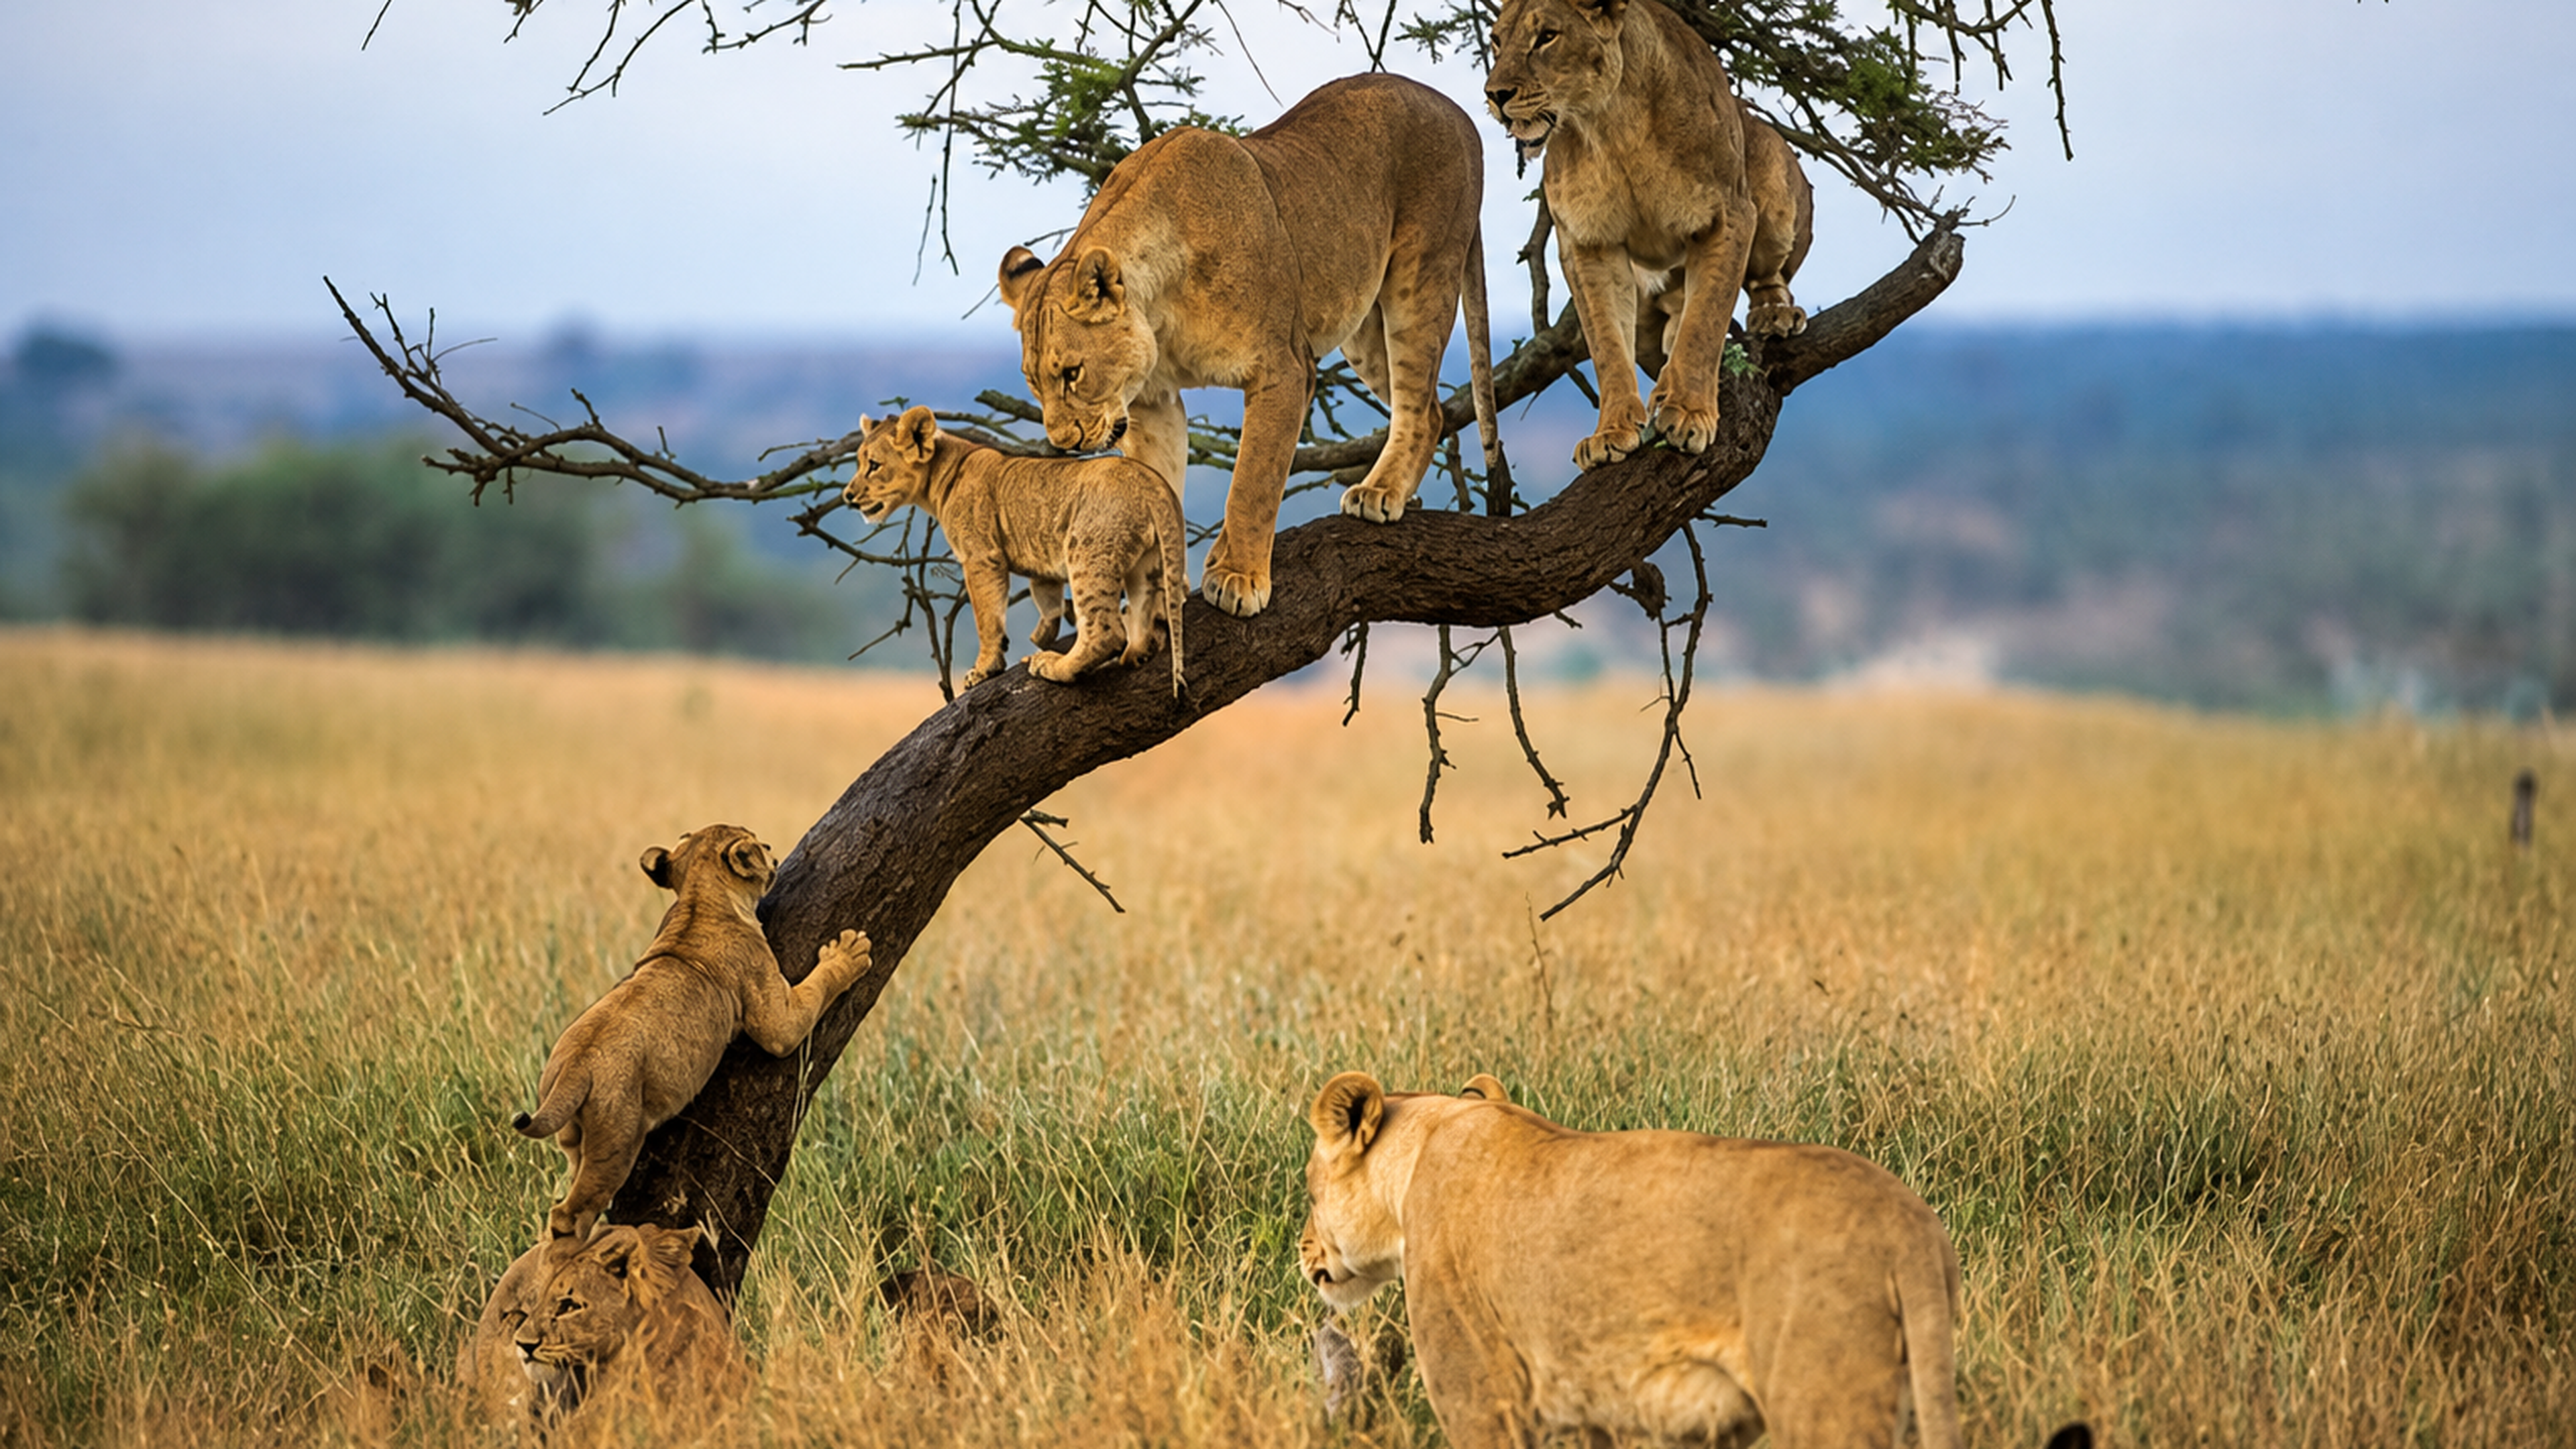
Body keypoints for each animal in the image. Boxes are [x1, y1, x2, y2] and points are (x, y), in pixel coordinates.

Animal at [514, 824, 870, 1240]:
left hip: (572, 1138)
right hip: (615, 1143)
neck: (700, 899)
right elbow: (814, 991)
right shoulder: (776, 1021)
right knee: (570, 1214)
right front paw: (849, 953)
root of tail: (577, 1064)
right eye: (757, 840)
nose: (770, 848)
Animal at [844, 405, 1185, 695]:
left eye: (873, 466)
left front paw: (984, 670)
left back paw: (1053, 665)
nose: (848, 495)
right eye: (859, 463)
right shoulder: (1043, 568)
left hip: (1086, 551)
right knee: (1147, 611)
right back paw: (1137, 654)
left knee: (1106, 632)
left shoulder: (981, 557)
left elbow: (987, 617)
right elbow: (1046, 600)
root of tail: (1154, 483)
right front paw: (1041, 635)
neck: (941, 475)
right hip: (1147, 563)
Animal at [997, 71, 1509, 621]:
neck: (1159, 308)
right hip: (1363, 325)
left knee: (1418, 404)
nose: (1064, 445)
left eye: (1072, 373)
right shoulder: (1153, 403)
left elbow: (1253, 482)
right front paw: (1157, 600)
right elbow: (1159, 490)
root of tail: (1456, 110)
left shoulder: (1283, 368)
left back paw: (1380, 491)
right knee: (1432, 409)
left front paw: (1239, 577)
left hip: (1421, 278)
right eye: (1033, 384)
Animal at [1484, 0, 1815, 469]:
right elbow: (1607, 344)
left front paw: (1690, 412)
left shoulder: (1728, 214)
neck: (1611, 127)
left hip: (1772, 178)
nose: (1495, 94)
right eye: (1497, 41)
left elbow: (1704, 323)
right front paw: (1610, 432)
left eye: (1547, 36)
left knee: (1766, 279)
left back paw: (1773, 314)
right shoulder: (1588, 242)